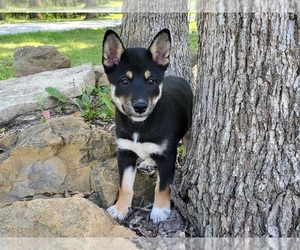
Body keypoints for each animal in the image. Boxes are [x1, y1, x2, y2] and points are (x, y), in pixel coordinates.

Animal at [102, 29, 193, 223]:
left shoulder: (168, 156)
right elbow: (124, 186)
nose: (140, 107)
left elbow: (162, 186)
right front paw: (120, 209)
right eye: (124, 81)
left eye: (151, 81)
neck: (139, 126)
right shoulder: (125, 153)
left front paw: (160, 210)